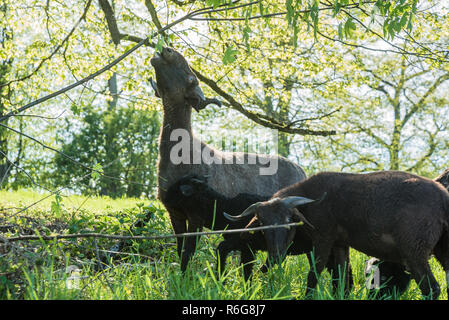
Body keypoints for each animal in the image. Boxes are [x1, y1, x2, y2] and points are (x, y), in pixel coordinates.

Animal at [149, 47, 306, 272]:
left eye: (191, 78)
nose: (167, 50)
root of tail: (303, 171)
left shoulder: (196, 215)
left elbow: (189, 251)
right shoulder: (174, 213)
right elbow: (180, 250)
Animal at [165, 175, 354, 290]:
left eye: (178, 189)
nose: (164, 198)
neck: (224, 208)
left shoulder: (245, 244)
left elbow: (239, 265)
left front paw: (227, 283)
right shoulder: (245, 245)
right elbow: (229, 255)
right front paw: (222, 281)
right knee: (342, 273)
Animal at [229, 171, 448, 298]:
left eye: (289, 221)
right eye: (262, 223)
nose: (275, 256)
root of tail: (442, 197)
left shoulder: (323, 238)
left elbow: (314, 274)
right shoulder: (340, 243)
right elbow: (342, 279)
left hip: (414, 251)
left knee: (431, 289)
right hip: (442, 249)